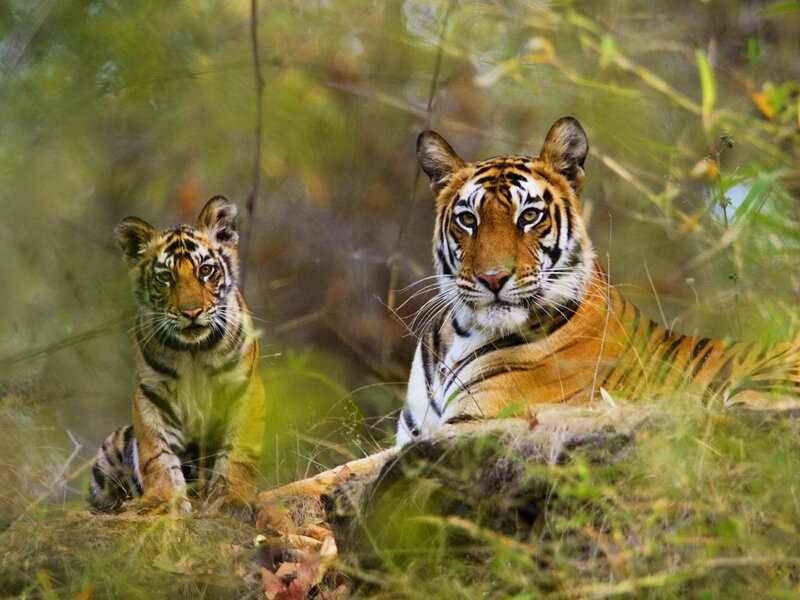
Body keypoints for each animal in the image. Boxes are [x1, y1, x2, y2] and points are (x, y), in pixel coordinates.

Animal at [89, 196, 265, 515]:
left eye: (205, 270)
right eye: (165, 277)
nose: (191, 312)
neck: (194, 351)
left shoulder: (245, 389)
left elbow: (239, 454)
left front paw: (232, 501)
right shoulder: (151, 395)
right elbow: (156, 455)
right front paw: (163, 500)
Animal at [259, 116, 800, 504]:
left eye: (530, 216)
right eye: (468, 219)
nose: (493, 279)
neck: (459, 335)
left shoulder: (468, 431)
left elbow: (336, 482)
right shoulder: (413, 437)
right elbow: (319, 478)